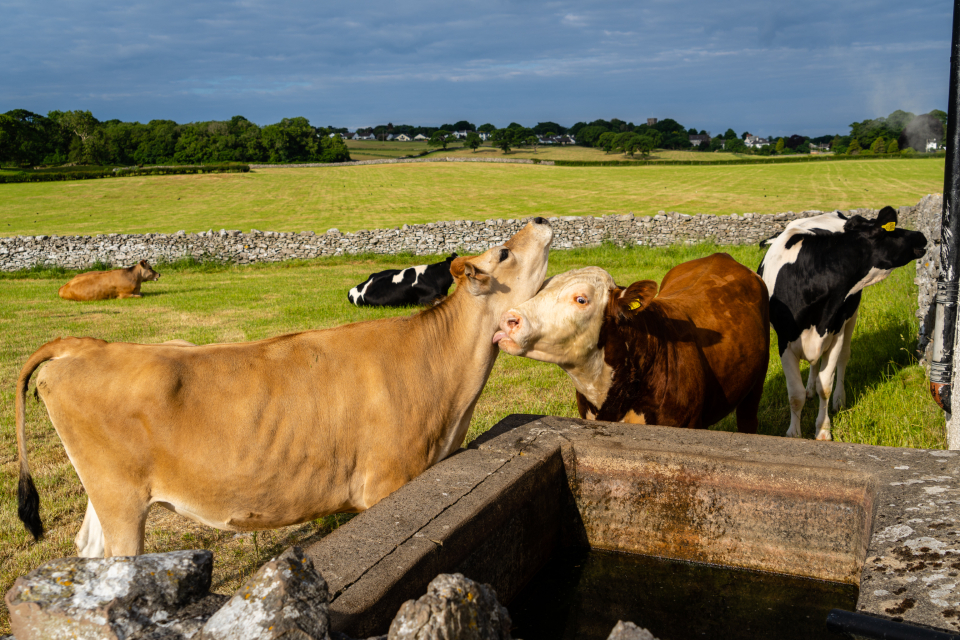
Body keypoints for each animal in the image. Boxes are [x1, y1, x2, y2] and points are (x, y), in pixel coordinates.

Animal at [757, 207, 927, 441]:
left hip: (851, 316)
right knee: (813, 367)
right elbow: (795, 394)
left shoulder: (834, 331)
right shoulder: (785, 341)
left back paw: (839, 399)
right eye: (893, 230)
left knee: (843, 358)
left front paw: (823, 430)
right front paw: (794, 433)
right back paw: (809, 389)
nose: (921, 235)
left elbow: (825, 386)